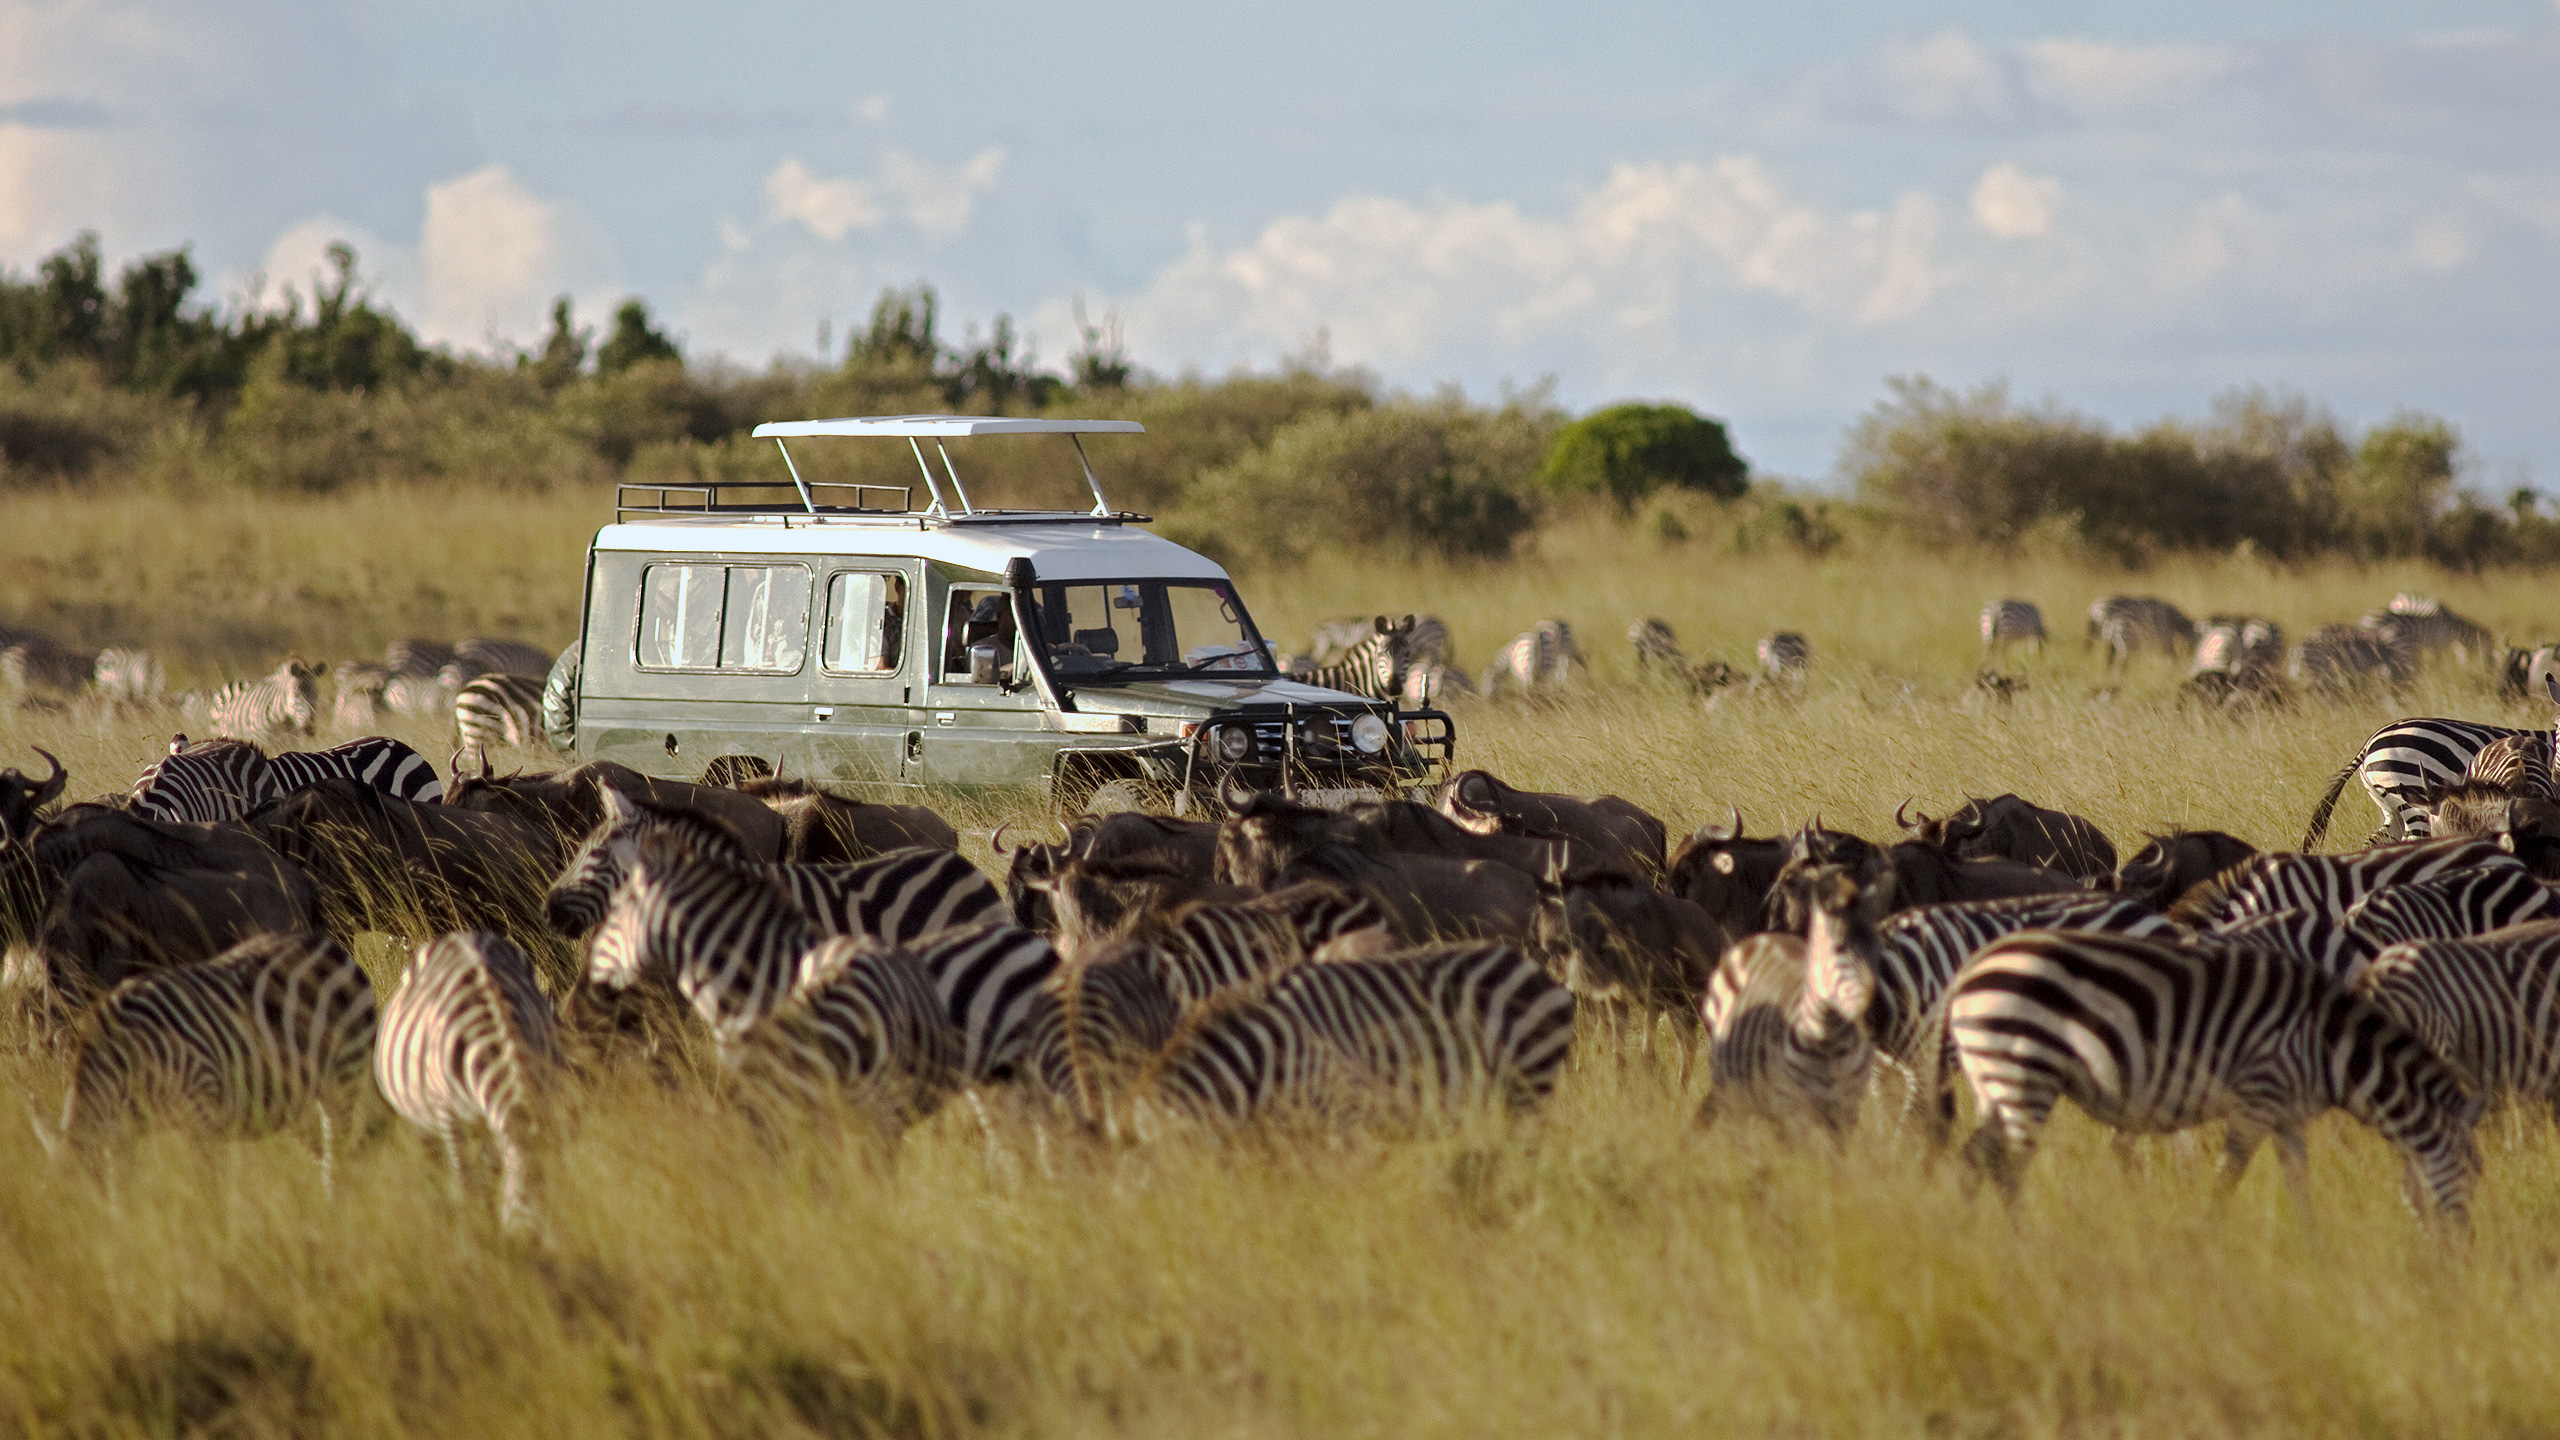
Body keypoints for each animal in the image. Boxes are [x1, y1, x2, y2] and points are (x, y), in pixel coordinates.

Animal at [33, 932, 380, 1185]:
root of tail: (332, 948)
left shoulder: (201, 1107)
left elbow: (208, 1184)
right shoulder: (123, 1134)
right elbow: (123, 1187)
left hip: (343, 1077)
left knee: (337, 1157)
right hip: (300, 1095)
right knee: (324, 1153)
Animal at [372, 931, 564, 1230]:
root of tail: (461, 935)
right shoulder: (447, 1114)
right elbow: (465, 1183)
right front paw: (474, 1230)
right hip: (422, 1118)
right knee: (436, 1168)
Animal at [1939, 929, 2483, 1223]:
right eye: (2474, 1174)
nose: (2464, 1252)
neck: (2330, 1046)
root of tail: (1969, 970)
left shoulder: (2287, 1114)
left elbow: (2298, 1185)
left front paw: (2315, 1255)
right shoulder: (2258, 1096)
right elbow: (2227, 1177)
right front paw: (2201, 1240)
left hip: (1996, 1083)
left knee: (1972, 1162)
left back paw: (1969, 1238)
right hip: (2024, 1073)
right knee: (2007, 1169)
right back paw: (2026, 1245)